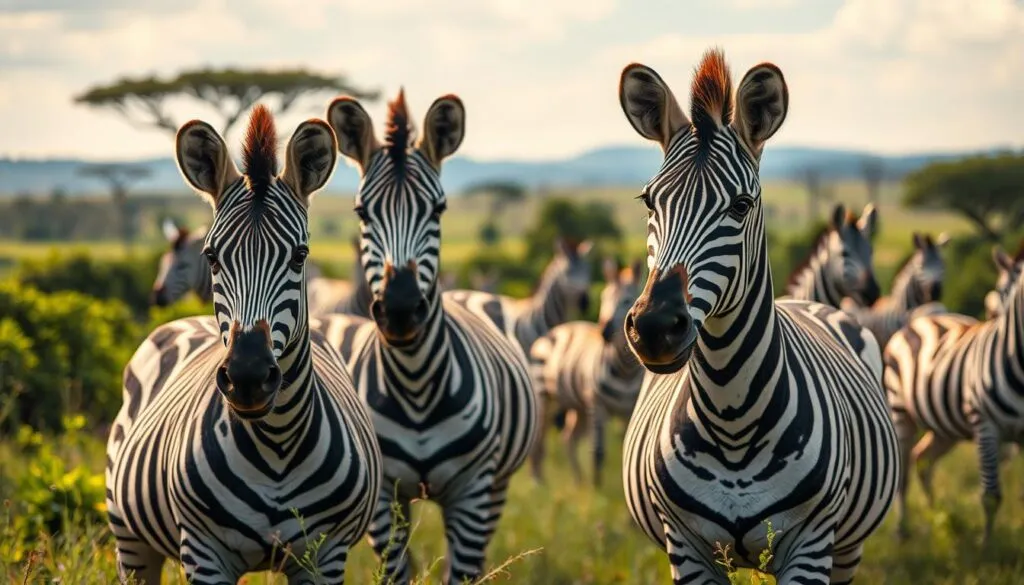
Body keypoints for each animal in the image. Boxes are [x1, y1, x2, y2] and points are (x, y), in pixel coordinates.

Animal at [107, 106, 382, 584]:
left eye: (300, 256)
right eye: (212, 257)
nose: (248, 377)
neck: (277, 443)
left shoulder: (325, 555)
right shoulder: (204, 552)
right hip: (131, 543)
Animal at [313, 89, 536, 584]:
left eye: (438, 209)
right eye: (362, 211)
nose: (399, 309)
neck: (415, 385)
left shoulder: (473, 491)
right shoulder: (383, 499)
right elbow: (397, 572)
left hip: (496, 487)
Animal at [528, 257, 644, 487]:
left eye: (627, 300)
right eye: (604, 297)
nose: (604, 332)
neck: (625, 371)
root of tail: (558, 328)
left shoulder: (627, 410)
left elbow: (627, 447)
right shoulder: (597, 405)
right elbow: (598, 452)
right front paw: (597, 489)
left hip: (577, 406)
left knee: (568, 437)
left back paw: (578, 482)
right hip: (545, 397)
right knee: (539, 438)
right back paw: (538, 481)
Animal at [615, 48, 898, 584]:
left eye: (741, 205)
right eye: (648, 200)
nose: (656, 327)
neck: (732, 421)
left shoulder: (812, 543)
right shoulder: (686, 547)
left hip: (848, 545)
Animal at [884, 241, 1024, 543]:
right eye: (997, 292)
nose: (993, 317)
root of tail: (927, 315)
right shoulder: (985, 426)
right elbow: (991, 496)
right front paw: (987, 546)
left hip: (945, 427)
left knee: (924, 460)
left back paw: (935, 517)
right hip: (901, 413)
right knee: (904, 474)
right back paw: (903, 531)